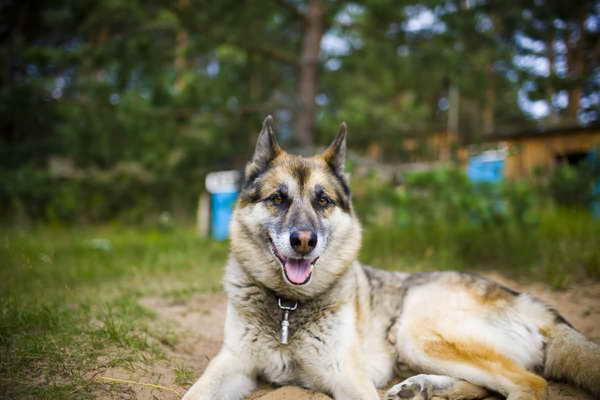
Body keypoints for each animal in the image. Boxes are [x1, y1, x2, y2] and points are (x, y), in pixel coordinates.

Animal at [183, 116, 600, 400]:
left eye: (323, 201)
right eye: (277, 199)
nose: (303, 241)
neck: (289, 306)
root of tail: (530, 303)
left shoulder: (349, 378)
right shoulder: (232, 364)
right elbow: (194, 393)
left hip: (416, 333)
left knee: (530, 383)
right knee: (487, 385)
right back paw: (425, 388)